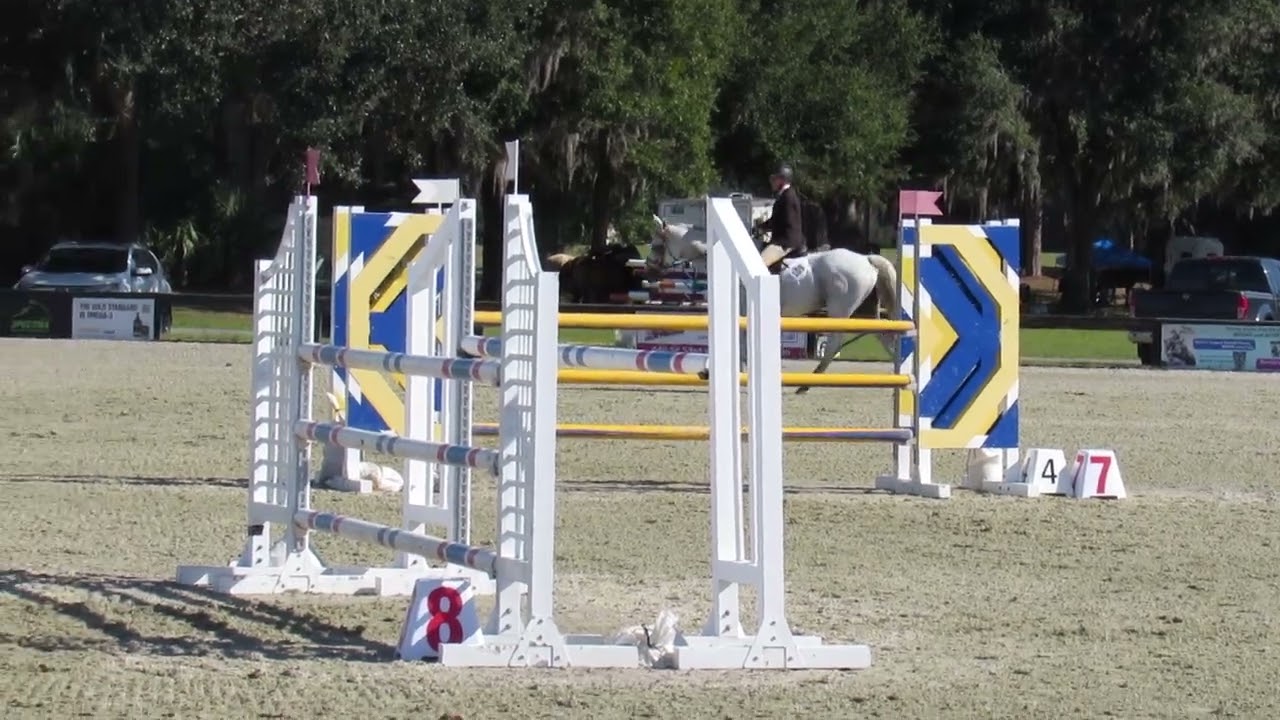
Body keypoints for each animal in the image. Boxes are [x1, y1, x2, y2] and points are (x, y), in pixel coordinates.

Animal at [648, 216, 898, 393]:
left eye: (656, 245)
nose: (651, 270)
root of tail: (866, 259)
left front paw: (717, 370)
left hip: (840, 310)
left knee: (834, 344)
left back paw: (807, 383)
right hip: (865, 312)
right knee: (885, 337)